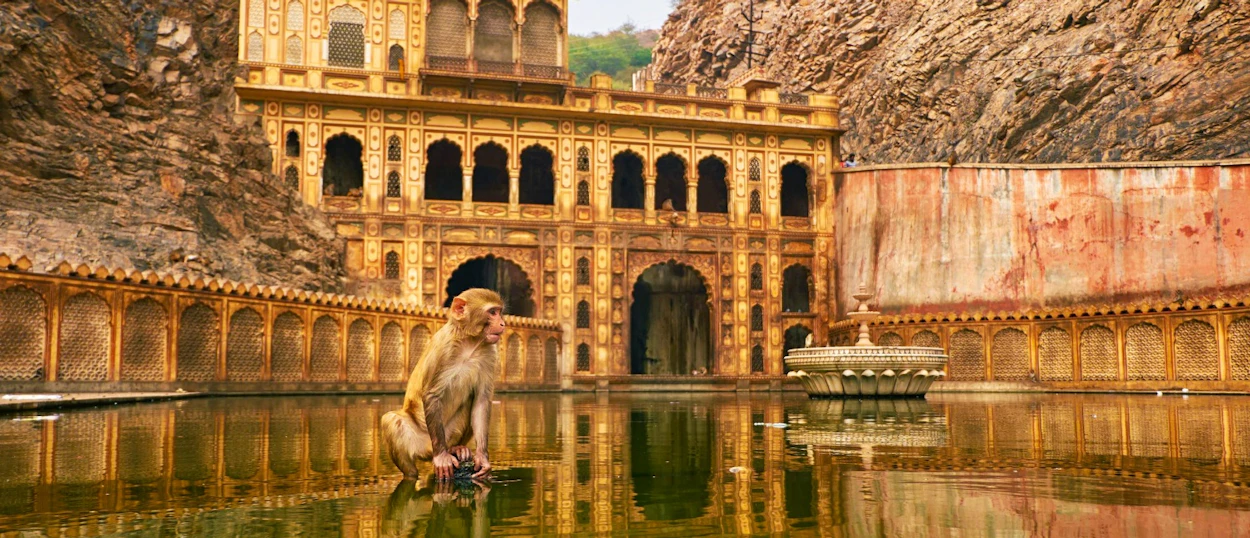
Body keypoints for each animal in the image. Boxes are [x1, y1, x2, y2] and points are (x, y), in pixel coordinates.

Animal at [382, 288, 505, 481]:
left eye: (499, 312)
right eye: (492, 312)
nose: (502, 323)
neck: (469, 342)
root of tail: (427, 451)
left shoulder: (489, 353)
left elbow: (481, 400)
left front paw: (482, 457)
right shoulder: (442, 349)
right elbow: (431, 395)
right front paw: (442, 457)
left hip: (448, 434)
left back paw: (456, 449)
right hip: (425, 442)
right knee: (392, 420)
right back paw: (419, 469)